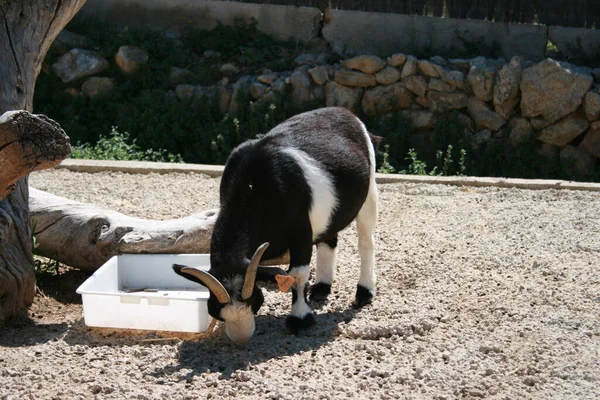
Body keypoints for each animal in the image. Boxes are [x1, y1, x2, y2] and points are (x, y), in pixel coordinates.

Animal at [173, 107, 378, 344]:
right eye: (216, 310)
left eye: (255, 301)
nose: (242, 338)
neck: (254, 184)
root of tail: (345, 112)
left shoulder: (301, 233)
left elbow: (297, 275)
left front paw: (300, 319)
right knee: (329, 238)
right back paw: (321, 288)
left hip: (370, 190)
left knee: (366, 242)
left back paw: (364, 292)